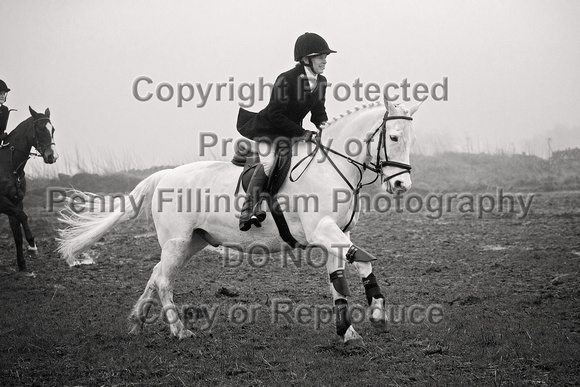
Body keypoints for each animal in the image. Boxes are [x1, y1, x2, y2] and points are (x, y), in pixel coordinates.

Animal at [0, 107, 57, 272]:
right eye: (40, 129)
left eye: (52, 129)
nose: (52, 156)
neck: (10, 166)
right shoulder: (2, 202)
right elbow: (23, 216)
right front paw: (32, 246)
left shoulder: (16, 202)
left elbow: (17, 234)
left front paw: (22, 264)